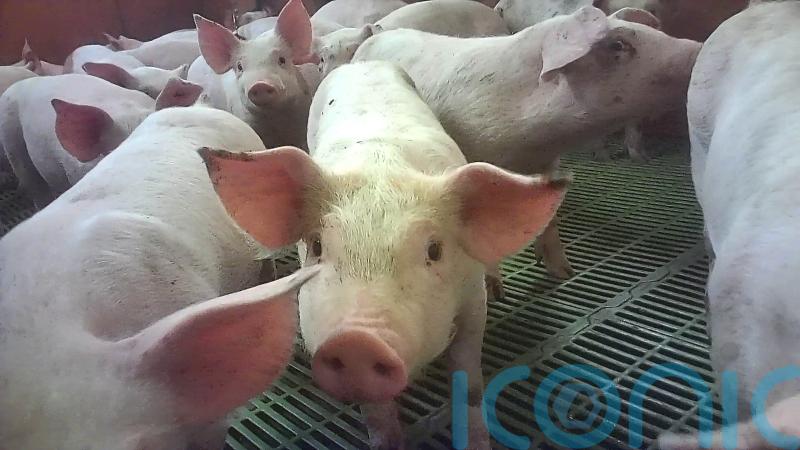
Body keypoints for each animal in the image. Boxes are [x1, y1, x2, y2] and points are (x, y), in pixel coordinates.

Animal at [200, 60, 568, 450]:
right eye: (316, 246)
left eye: (434, 250)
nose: (356, 341)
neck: (382, 167)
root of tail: (357, 63)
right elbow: (375, 412)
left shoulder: (473, 305)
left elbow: (469, 384)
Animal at [354, 6, 700, 278]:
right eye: (618, 44)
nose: (699, 48)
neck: (532, 143)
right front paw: (496, 291)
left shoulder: (546, 162)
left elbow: (549, 219)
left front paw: (564, 273)